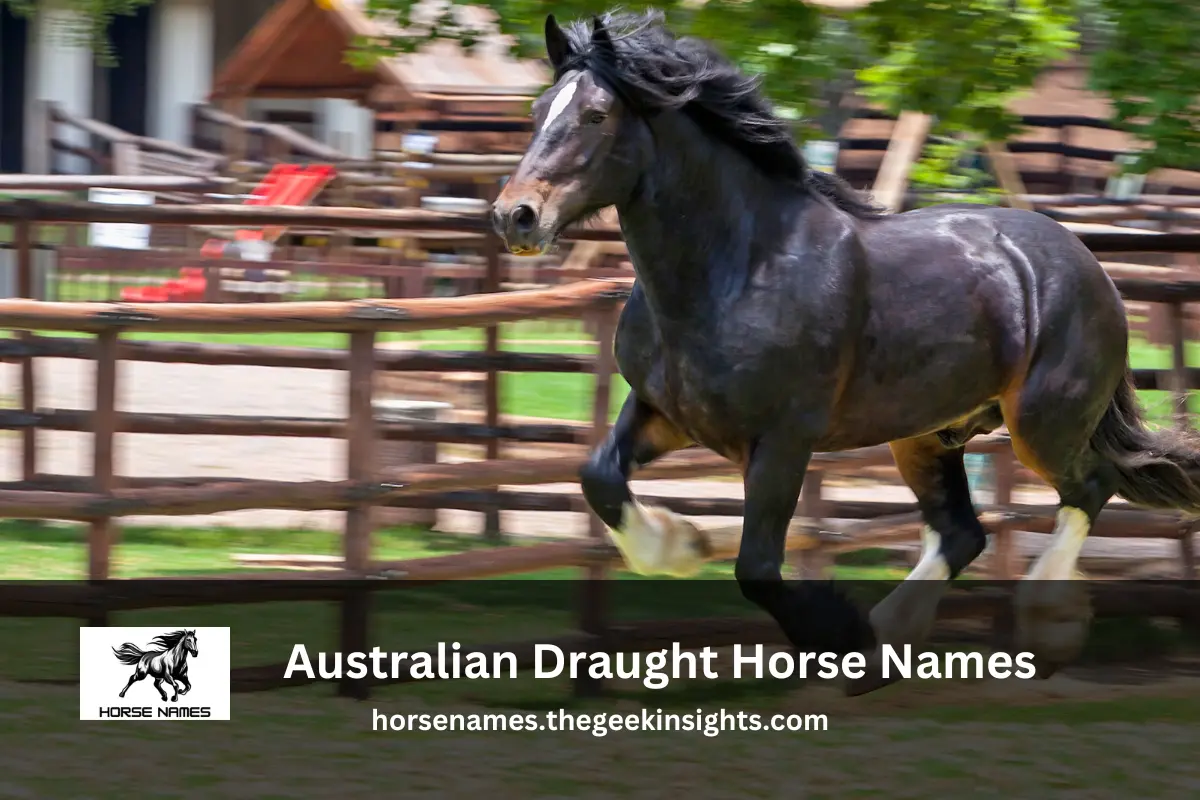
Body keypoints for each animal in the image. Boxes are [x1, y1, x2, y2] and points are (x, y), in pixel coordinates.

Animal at [492, 9, 1200, 694]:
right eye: (538, 110)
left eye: (596, 114)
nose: (515, 216)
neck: (736, 270)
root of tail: (1086, 260)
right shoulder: (665, 413)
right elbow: (600, 479)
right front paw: (681, 543)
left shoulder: (783, 439)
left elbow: (757, 567)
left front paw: (837, 636)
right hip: (926, 435)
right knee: (963, 532)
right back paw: (888, 645)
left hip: (1042, 423)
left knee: (1091, 486)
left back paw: (1041, 631)